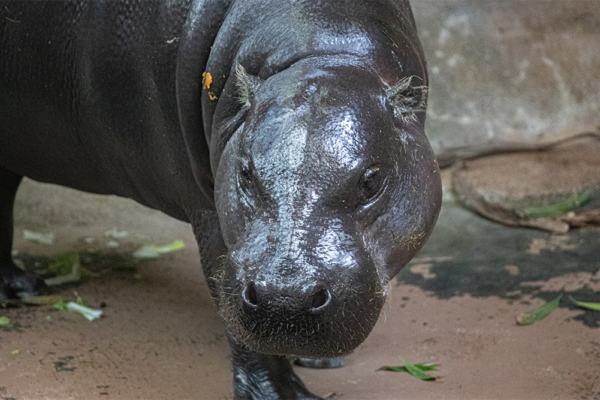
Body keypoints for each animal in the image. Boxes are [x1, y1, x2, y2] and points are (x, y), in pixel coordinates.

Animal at [0, 0, 440, 396]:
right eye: (245, 172)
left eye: (371, 180)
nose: (286, 297)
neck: (326, 52)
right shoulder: (209, 208)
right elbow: (227, 296)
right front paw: (283, 395)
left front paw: (319, 360)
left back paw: (22, 288)